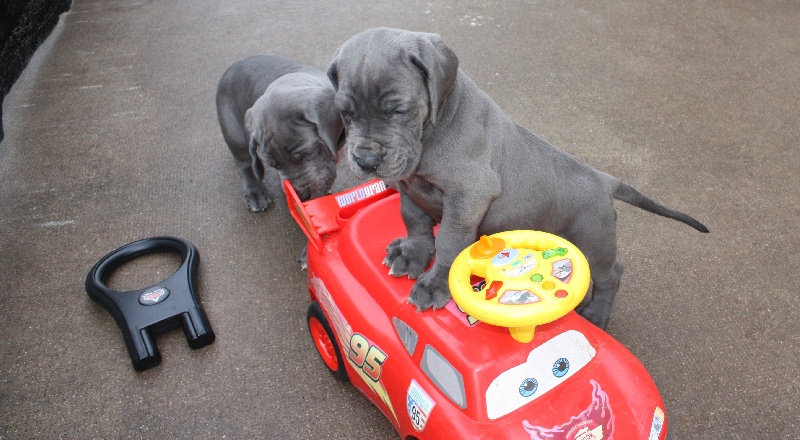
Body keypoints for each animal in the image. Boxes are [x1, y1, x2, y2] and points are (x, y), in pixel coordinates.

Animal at [216, 54, 344, 210]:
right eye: (274, 165)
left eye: (306, 153)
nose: (302, 196)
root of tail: (231, 68)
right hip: (235, 133)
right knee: (244, 163)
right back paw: (254, 192)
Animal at [328, 26, 708, 326]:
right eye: (344, 113)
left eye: (399, 110)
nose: (366, 159)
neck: (434, 128)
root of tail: (604, 179)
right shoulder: (409, 185)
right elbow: (415, 221)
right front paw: (411, 254)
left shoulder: (469, 195)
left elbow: (450, 241)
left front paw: (434, 285)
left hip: (594, 237)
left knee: (612, 273)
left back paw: (597, 314)